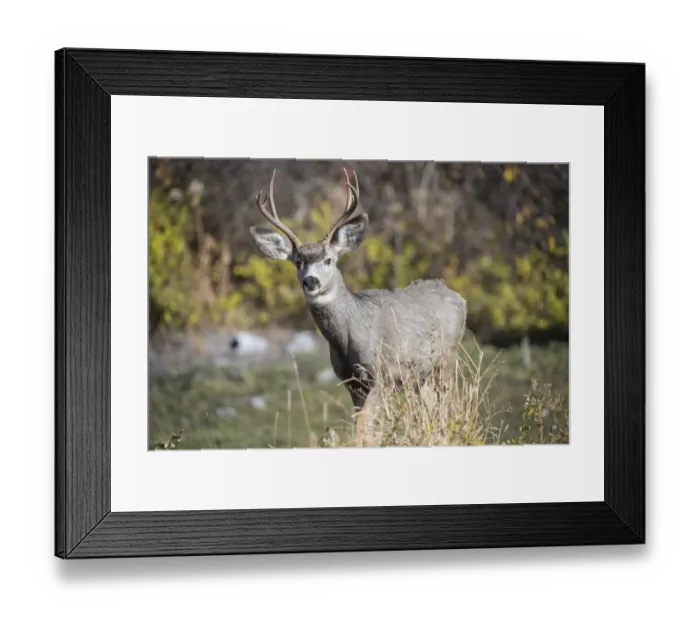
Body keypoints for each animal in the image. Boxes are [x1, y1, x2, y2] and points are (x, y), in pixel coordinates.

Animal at [249, 168, 468, 447]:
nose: (311, 281)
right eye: (298, 262)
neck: (351, 334)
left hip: (448, 358)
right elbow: (362, 427)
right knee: (431, 407)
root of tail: (459, 297)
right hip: (420, 375)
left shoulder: (382, 375)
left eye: (328, 260)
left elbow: (365, 429)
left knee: (444, 406)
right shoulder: (351, 381)